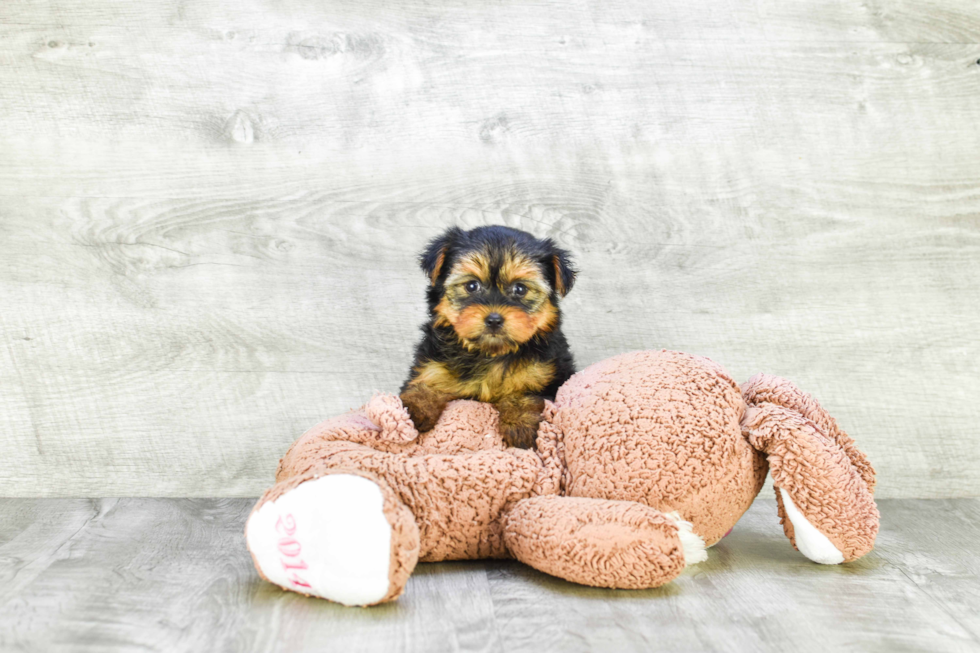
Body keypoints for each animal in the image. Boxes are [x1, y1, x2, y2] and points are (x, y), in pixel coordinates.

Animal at [402, 225, 580, 448]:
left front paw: (519, 425)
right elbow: (426, 384)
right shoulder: (432, 365)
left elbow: (525, 394)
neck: (489, 353)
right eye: (472, 285)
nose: (494, 319)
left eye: (520, 289)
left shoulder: (546, 375)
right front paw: (415, 408)